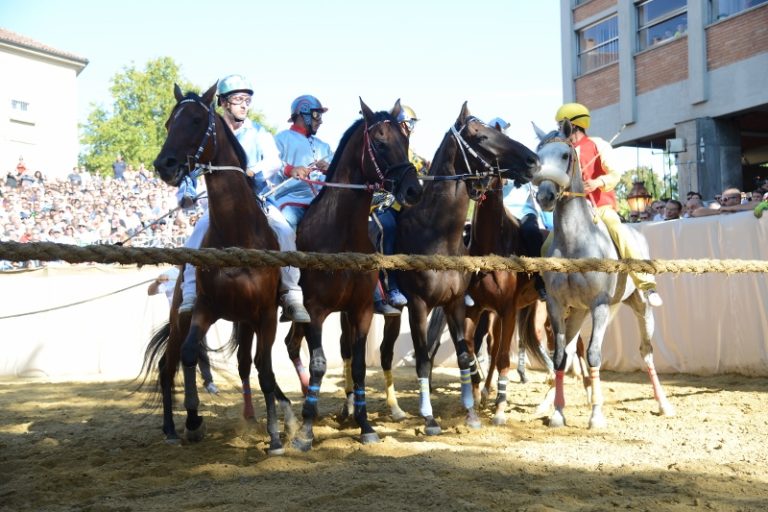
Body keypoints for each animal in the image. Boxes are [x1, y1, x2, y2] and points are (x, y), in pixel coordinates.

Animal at [142, 85, 292, 456]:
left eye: (196, 120)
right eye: (169, 122)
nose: (164, 165)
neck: (237, 236)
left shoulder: (264, 314)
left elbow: (264, 370)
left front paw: (275, 436)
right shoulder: (205, 308)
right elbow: (189, 354)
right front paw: (193, 418)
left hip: (247, 320)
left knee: (248, 365)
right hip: (181, 314)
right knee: (168, 364)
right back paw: (170, 428)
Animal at [288, 98, 424, 450]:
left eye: (405, 139)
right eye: (379, 142)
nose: (413, 190)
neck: (340, 234)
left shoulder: (359, 309)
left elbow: (361, 365)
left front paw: (364, 425)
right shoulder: (315, 311)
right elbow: (320, 363)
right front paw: (306, 432)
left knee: (292, 345)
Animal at [380, 105, 540, 436]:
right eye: (481, 136)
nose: (532, 160)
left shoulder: (467, 305)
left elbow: (473, 354)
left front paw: (480, 411)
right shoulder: (423, 305)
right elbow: (429, 358)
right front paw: (431, 418)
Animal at [532, 122, 676, 430]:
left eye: (565, 155)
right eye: (538, 157)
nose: (545, 196)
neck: (575, 243)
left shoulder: (599, 304)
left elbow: (594, 355)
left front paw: (596, 415)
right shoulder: (557, 305)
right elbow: (560, 356)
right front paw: (558, 413)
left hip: (639, 307)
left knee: (646, 351)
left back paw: (663, 404)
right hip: (578, 312)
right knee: (570, 350)